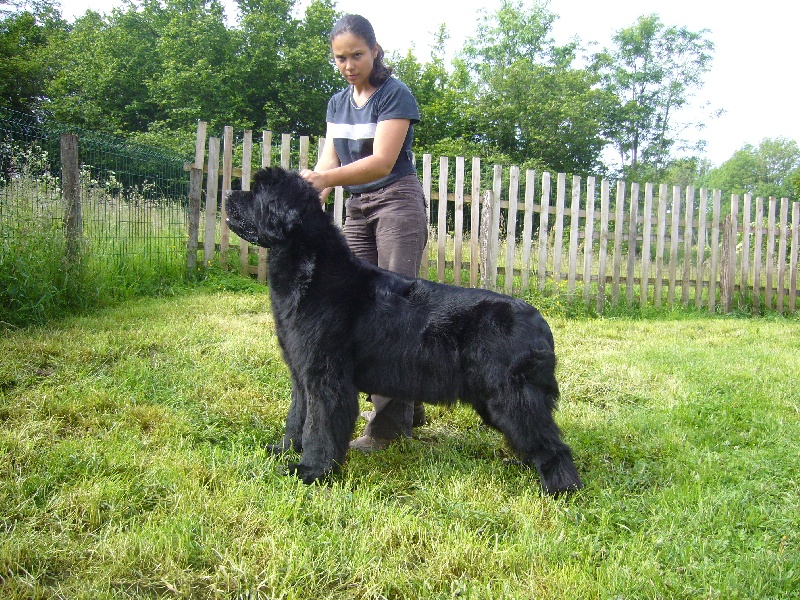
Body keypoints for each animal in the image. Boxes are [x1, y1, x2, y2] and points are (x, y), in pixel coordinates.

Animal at [225, 166, 580, 494]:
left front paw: (312, 471)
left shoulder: (326, 378)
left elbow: (319, 426)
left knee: (551, 443)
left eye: (257, 192)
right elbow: (297, 416)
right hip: (495, 398)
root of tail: (540, 323)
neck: (309, 267)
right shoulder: (301, 375)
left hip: (512, 396)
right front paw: (283, 450)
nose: (228, 194)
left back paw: (560, 489)